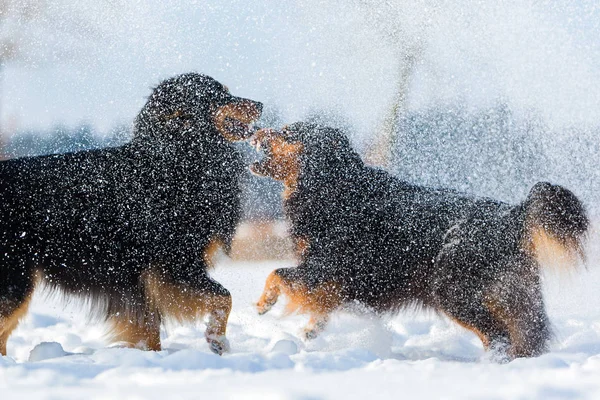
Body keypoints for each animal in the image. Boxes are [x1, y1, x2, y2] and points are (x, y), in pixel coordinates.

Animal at [0, 72, 262, 356]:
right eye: (218, 95)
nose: (260, 104)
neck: (173, 158)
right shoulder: (175, 266)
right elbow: (224, 297)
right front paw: (217, 340)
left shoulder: (140, 280)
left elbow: (148, 327)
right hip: (15, 280)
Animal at [251, 122, 588, 360]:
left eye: (287, 132)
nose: (254, 132)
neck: (334, 185)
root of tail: (513, 214)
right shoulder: (338, 279)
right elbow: (321, 303)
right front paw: (311, 328)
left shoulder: (323, 265)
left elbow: (277, 273)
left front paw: (264, 303)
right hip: (514, 293)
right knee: (527, 334)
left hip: (452, 291)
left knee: (499, 336)